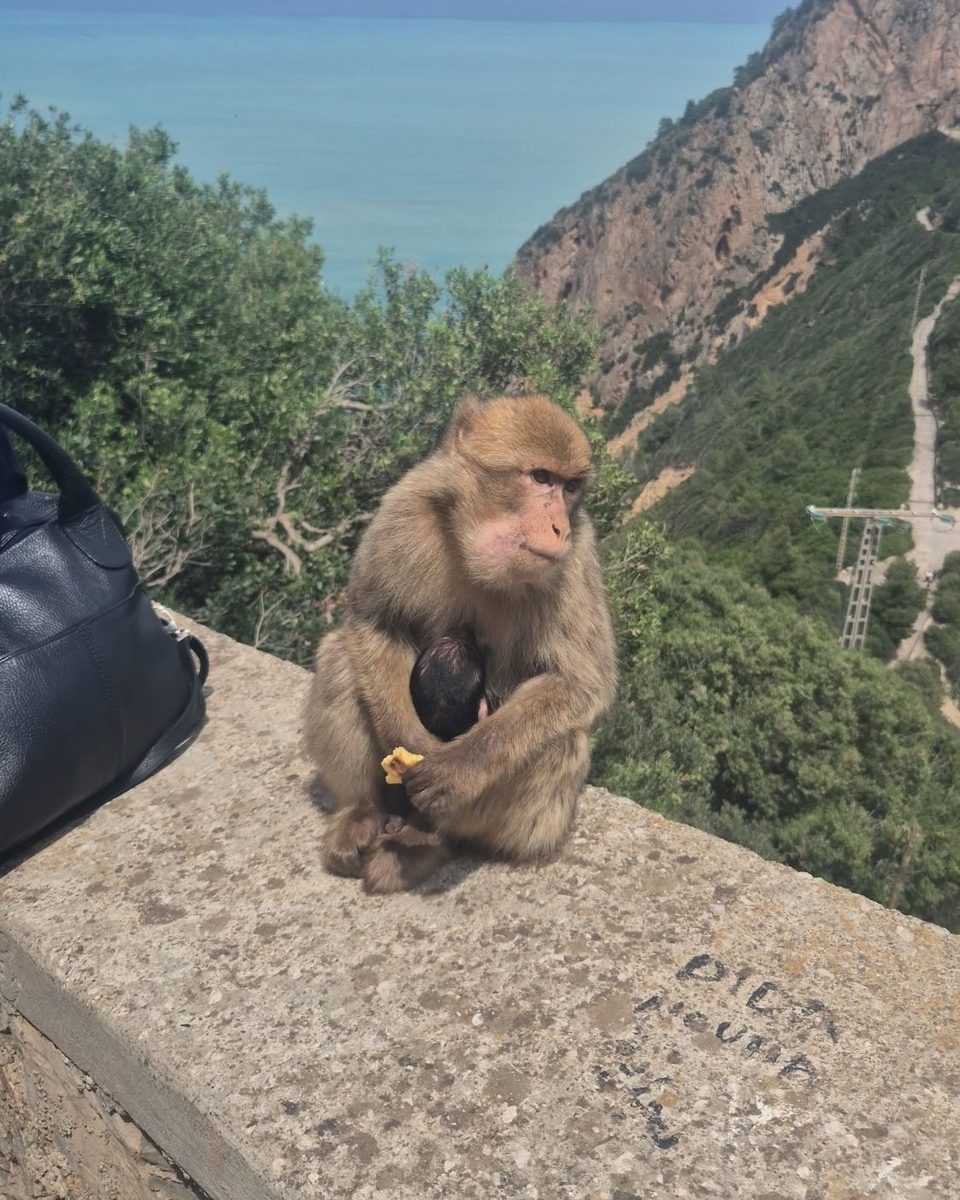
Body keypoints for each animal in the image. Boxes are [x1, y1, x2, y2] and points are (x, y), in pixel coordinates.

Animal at [303, 393, 616, 894]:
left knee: (560, 739)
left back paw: (424, 845)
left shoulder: (576, 559)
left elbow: (579, 682)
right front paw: (408, 738)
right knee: (340, 659)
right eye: (541, 478)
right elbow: (376, 622)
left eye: (570, 489)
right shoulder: (405, 508)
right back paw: (364, 814)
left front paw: (459, 767)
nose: (559, 528)